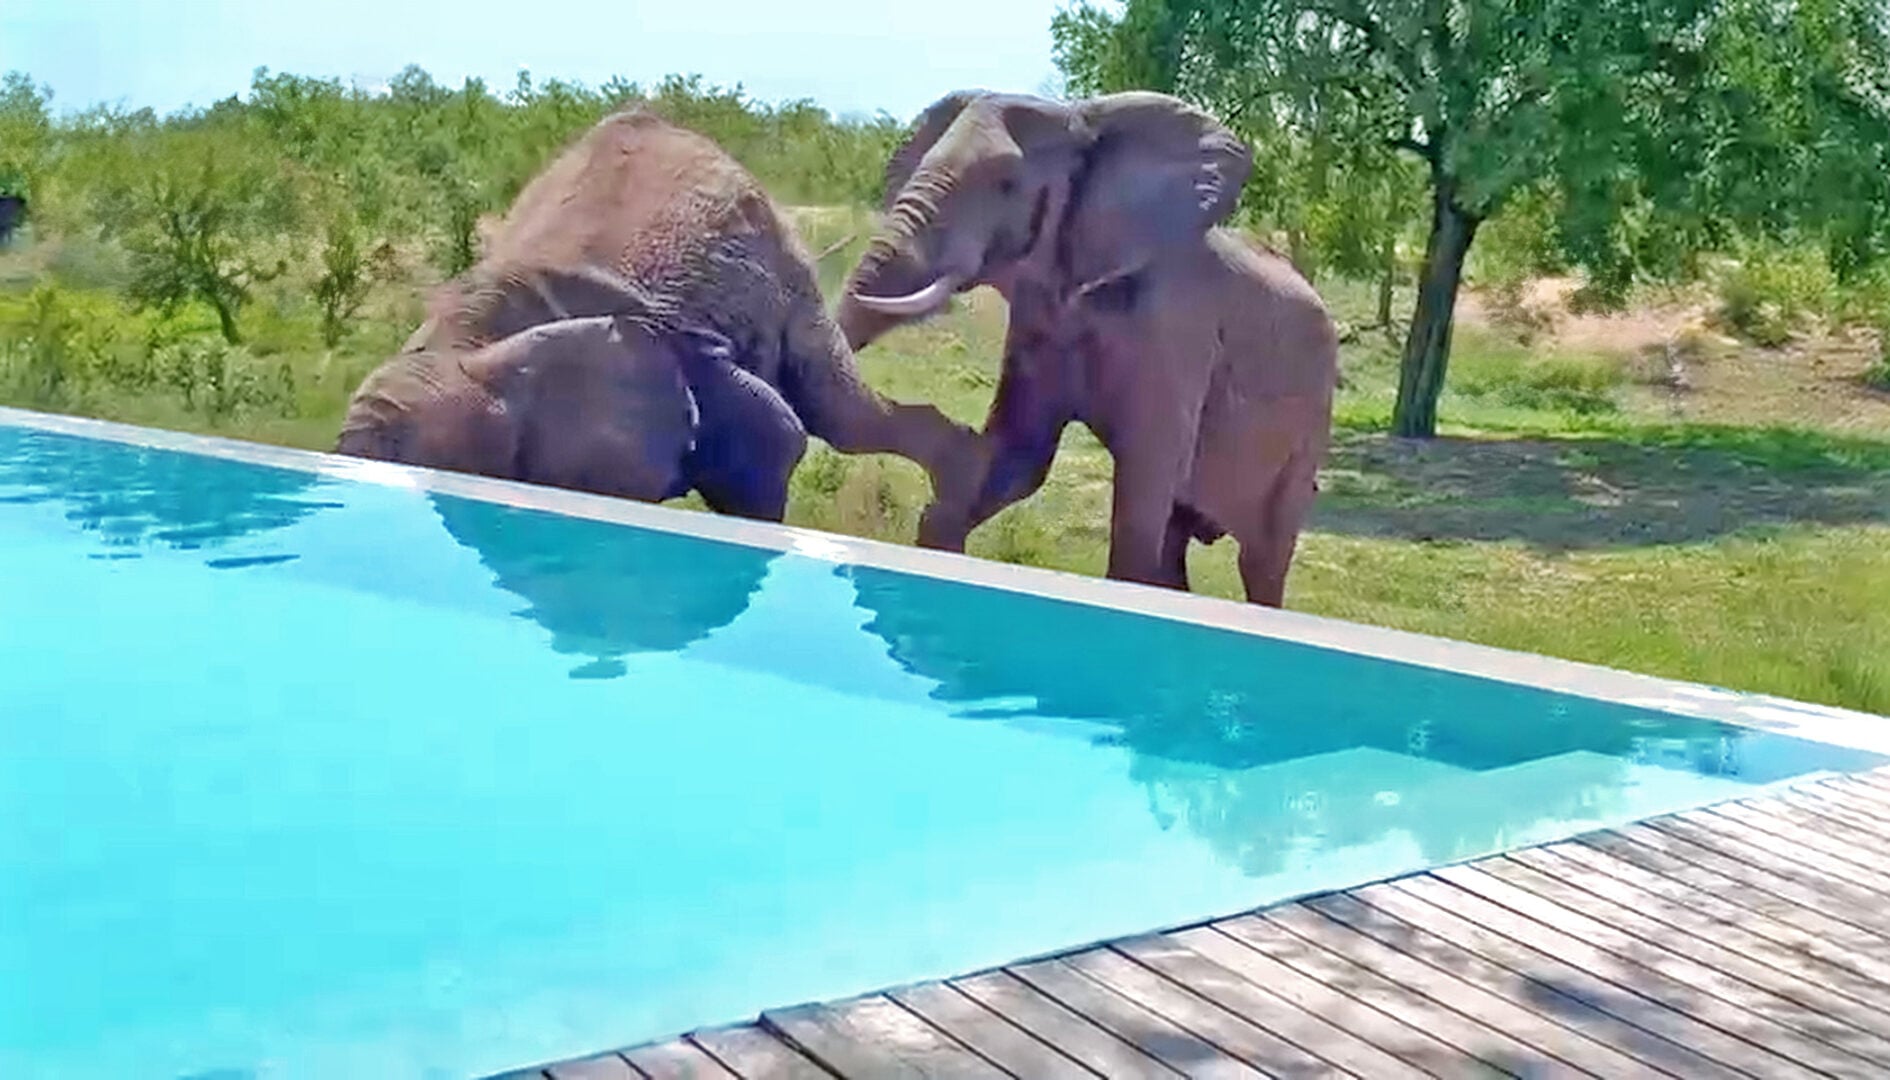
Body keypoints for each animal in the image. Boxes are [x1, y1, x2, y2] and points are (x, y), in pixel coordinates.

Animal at [836, 90, 1341, 606]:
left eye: (1007, 184)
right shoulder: (1039, 319)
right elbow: (1020, 459)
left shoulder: (1179, 328)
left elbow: (1145, 483)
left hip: (1309, 429)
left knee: (1261, 561)